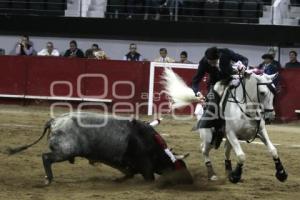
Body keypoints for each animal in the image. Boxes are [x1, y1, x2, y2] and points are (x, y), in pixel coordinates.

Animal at [8, 113, 193, 185]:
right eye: (179, 166)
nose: (190, 180)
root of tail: (54, 121)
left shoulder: (127, 164)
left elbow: (128, 173)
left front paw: (118, 180)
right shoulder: (145, 166)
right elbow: (148, 178)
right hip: (64, 151)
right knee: (46, 157)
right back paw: (49, 179)